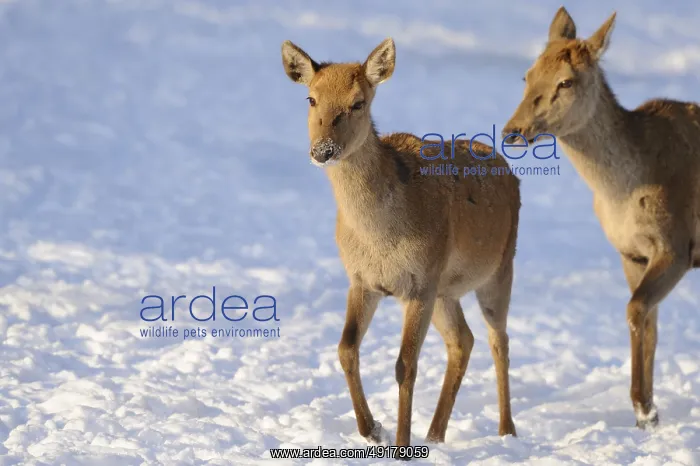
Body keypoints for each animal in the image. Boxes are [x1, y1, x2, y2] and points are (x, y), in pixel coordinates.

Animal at [281, 37, 521, 450]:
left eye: (358, 102)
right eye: (311, 99)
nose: (323, 150)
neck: (381, 238)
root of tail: (511, 173)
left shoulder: (420, 281)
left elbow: (405, 365)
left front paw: (402, 444)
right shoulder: (362, 280)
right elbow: (346, 349)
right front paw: (372, 429)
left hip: (499, 268)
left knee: (499, 340)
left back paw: (507, 431)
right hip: (446, 290)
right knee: (463, 340)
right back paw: (436, 435)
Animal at [502, 6, 700, 430]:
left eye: (566, 81)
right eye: (527, 74)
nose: (513, 131)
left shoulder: (676, 243)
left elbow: (635, 309)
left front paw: (642, 406)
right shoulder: (630, 252)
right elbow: (648, 321)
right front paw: (648, 415)